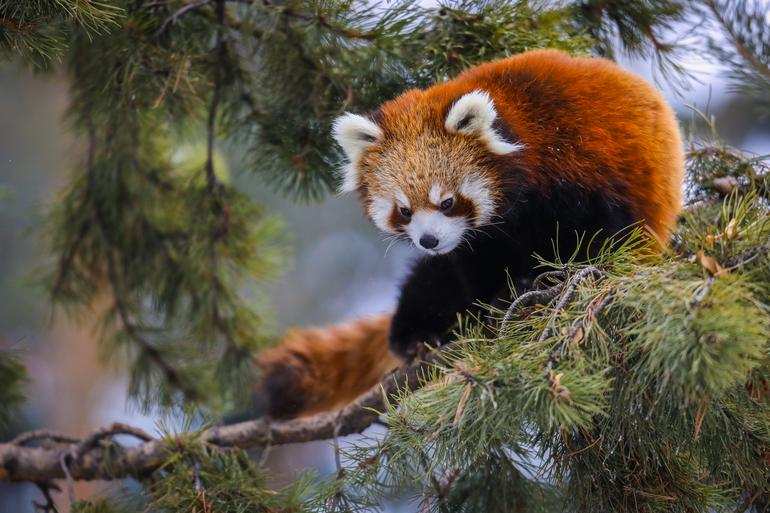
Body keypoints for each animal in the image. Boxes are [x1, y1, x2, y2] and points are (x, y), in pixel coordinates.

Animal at [255, 50, 680, 420]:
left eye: (447, 202)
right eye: (404, 210)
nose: (428, 241)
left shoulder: (582, 167)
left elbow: (599, 236)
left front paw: (546, 279)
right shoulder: (477, 243)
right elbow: (474, 266)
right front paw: (492, 303)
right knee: (428, 282)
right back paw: (416, 333)